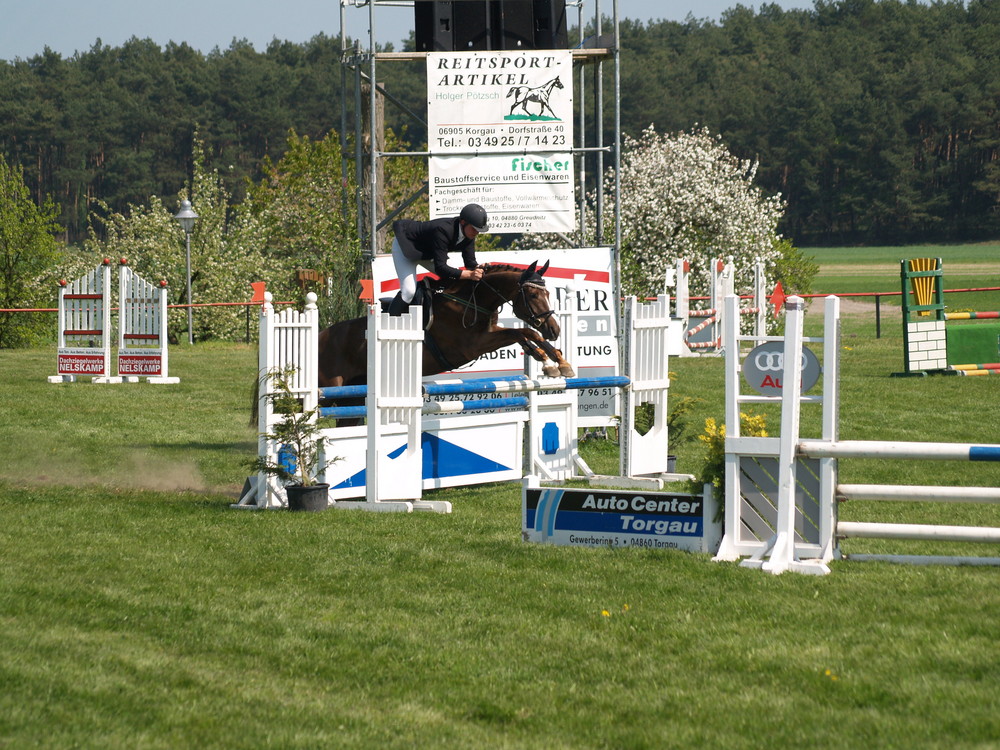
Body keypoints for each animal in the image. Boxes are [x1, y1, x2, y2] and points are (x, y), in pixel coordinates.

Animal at [316, 258, 576, 412]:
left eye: (548, 294)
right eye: (533, 295)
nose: (554, 329)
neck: (471, 300)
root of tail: (319, 337)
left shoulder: (489, 334)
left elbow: (525, 334)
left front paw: (557, 362)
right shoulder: (473, 345)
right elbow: (523, 331)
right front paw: (548, 362)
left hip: (352, 397)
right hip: (328, 392)